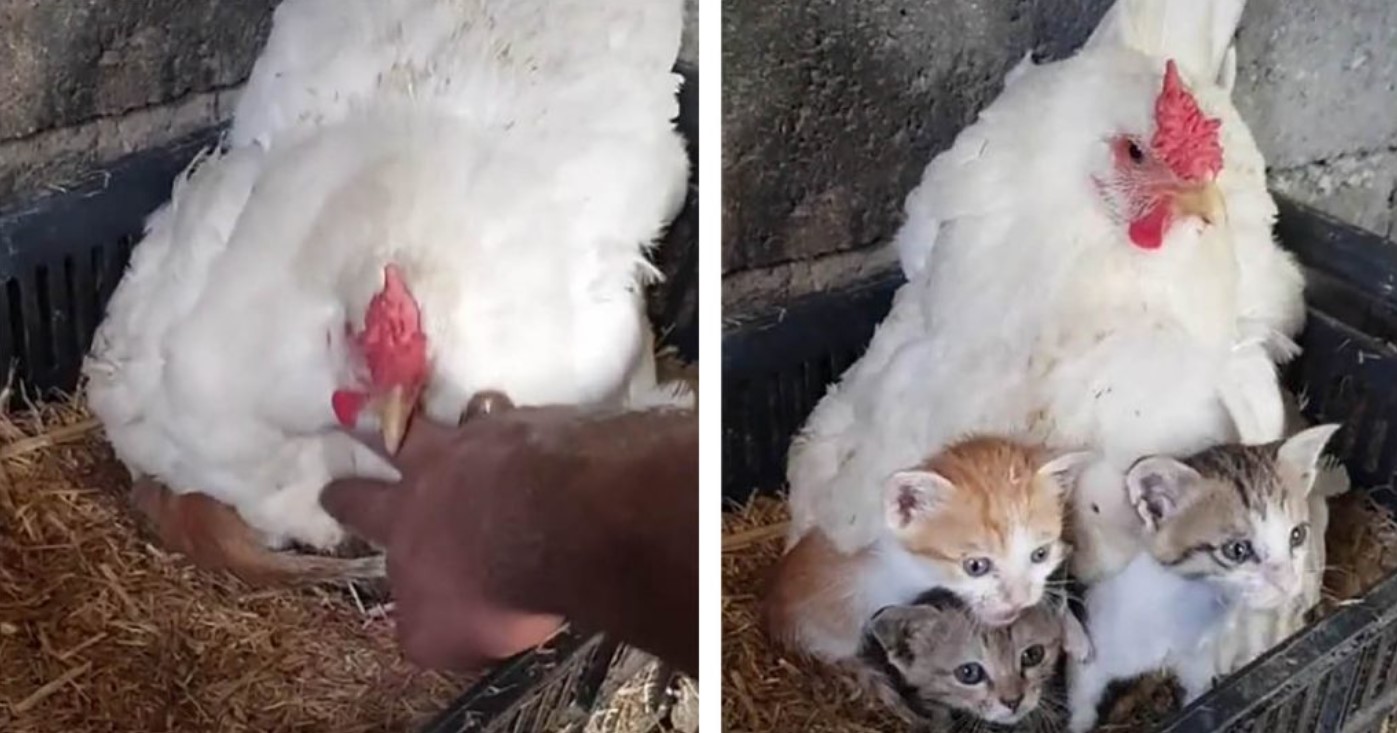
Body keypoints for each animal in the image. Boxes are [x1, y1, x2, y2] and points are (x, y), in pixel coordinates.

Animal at [1067, 421, 1341, 731]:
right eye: (1237, 549)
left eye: (1297, 535)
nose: (1287, 583)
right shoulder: (1093, 651)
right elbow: (1083, 699)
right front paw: (1079, 722)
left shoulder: (1199, 661)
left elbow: (1199, 693)